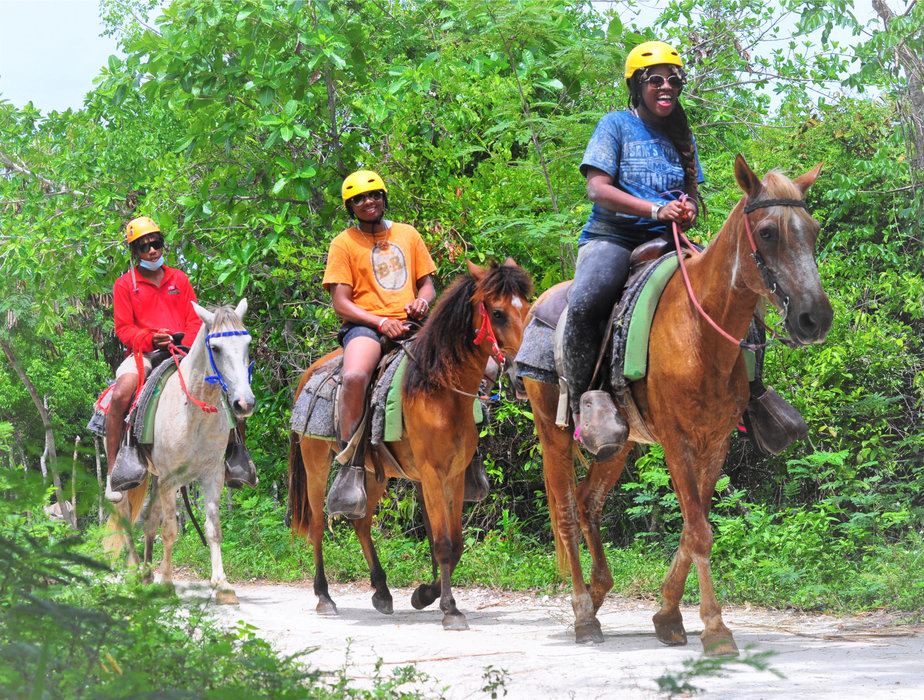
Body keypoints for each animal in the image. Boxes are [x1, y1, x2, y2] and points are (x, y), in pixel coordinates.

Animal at [104, 298, 254, 604]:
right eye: (216, 347)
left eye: (247, 343)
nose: (244, 403)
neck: (194, 413)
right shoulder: (171, 480)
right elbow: (170, 530)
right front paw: (167, 584)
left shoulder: (212, 477)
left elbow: (213, 528)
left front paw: (222, 585)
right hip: (132, 481)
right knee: (127, 519)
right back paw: (135, 574)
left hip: (155, 478)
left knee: (148, 522)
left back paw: (147, 574)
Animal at [288, 260, 536, 632]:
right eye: (497, 312)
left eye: (527, 306)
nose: (521, 375)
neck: (439, 390)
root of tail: (309, 372)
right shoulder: (432, 475)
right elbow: (443, 543)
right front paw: (450, 610)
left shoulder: (454, 475)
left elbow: (453, 543)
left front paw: (425, 594)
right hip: (316, 460)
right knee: (318, 523)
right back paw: (324, 597)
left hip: (375, 471)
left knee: (362, 523)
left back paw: (381, 591)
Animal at [524, 157, 832, 656]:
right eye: (767, 232)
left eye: (814, 230)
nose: (815, 318)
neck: (699, 333)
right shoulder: (676, 440)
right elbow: (699, 531)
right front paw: (715, 629)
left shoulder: (716, 441)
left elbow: (694, 526)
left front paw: (668, 615)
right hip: (552, 429)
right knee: (566, 510)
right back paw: (583, 615)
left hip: (619, 442)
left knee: (589, 501)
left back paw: (597, 594)